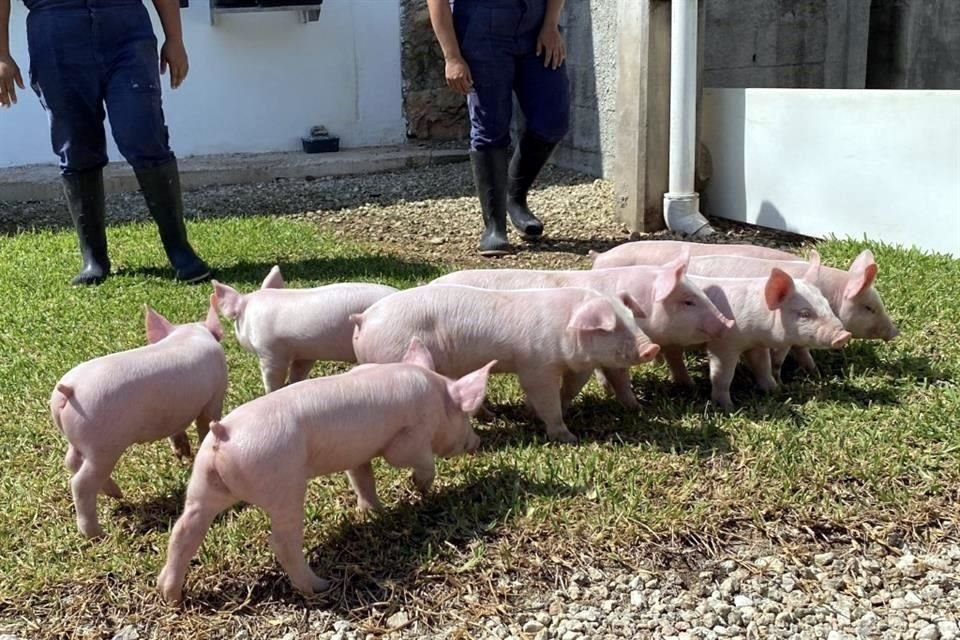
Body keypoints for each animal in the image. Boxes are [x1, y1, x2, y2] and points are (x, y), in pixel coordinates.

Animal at [49, 297, 228, 539]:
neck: (191, 333)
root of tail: (69, 390)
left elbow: (176, 429)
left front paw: (183, 454)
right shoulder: (215, 395)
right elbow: (206, 423)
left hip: (79, 438)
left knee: (70, 461)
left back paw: (117, 495)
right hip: (102, 444)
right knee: (80, 483)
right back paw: (98, 534)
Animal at [156, 337, 494, 603]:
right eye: (466, 414)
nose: (477, 442)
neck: (436, 397)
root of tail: (223, 433)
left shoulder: (357, 452)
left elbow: (362, 478)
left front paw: (376, 513)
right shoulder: (408, 437)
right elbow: (415, 460)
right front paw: (420, 488)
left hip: (203, 482)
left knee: (184, 530)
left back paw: (171, 595)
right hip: (281, 483)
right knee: (282, 541)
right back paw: (319, 586)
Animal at [350, 284, 661, 443]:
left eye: (631, 318)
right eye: (611, 327)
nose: (652, 348)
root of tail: (364, 317)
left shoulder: (577, 364)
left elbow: (569, 390)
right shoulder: (536, 365)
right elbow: (544, 396)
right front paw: (567, 437)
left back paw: (492, 417)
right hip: (393, 354)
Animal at [661, 264, 852, 409]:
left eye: (826, 304)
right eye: (804, 313)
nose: (844, 335)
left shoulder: (756, 345)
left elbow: (763, 366)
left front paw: (775, 390)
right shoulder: (724, 344)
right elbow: (722, 375)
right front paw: (728, 408)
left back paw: (688, 386)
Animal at [685, 249, 899, 378]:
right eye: (869, 308)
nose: (896, 332)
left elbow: (803, 352)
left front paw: (815, 373)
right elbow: (780, 358)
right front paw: (779, 381)